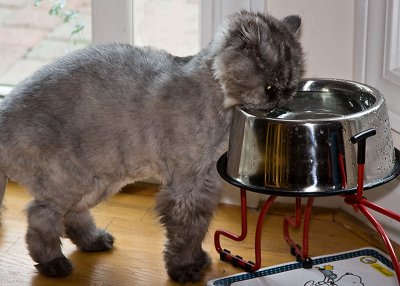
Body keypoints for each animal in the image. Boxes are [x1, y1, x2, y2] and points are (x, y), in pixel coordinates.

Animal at [0, 10, 304, 282]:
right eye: (270, 88)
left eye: (290, 89)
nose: (279, 103)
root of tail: (4, 111)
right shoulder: (185, 188)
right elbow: (184, 233)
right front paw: (185, 269)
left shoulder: (204, 185)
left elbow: (197, 229)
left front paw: (197, 260)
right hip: (70, 181)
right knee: (40, 219)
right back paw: (53, 262)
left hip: (97, 184)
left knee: (72, 217)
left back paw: (93, 240)